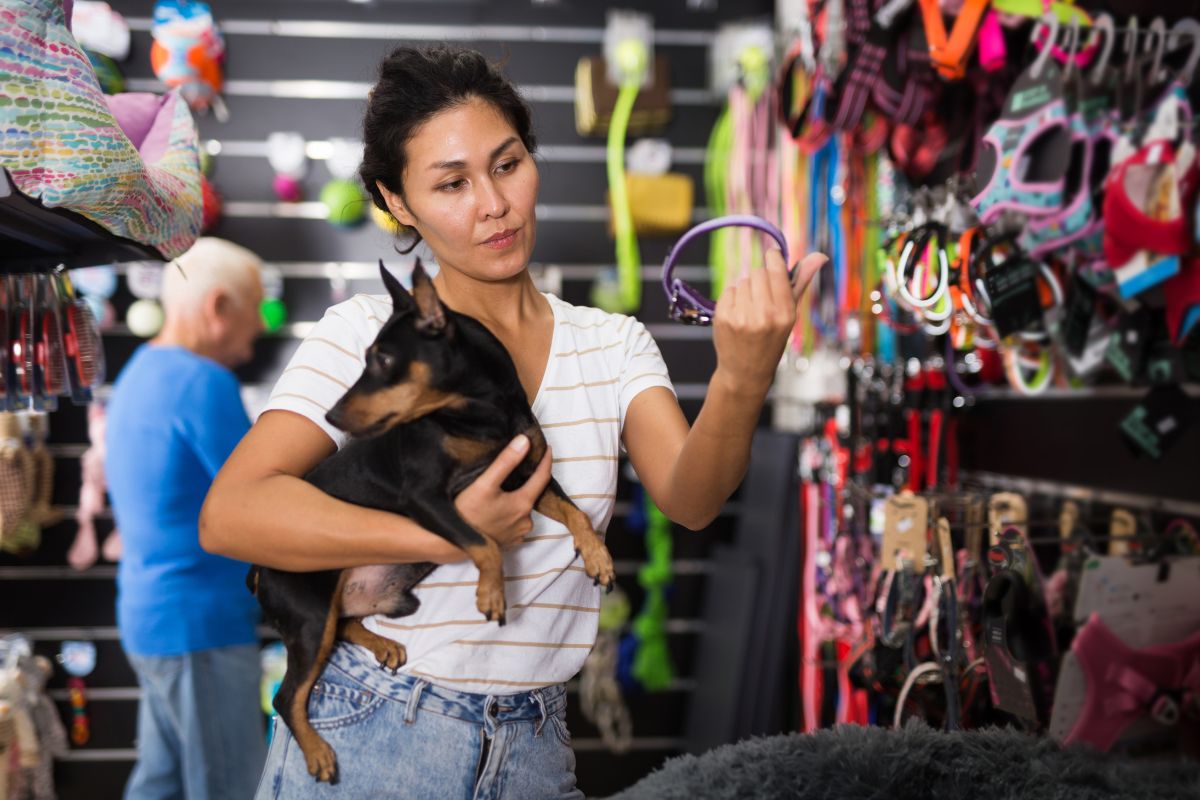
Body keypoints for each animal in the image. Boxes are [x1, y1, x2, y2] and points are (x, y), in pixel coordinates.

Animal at [248, 262, 614, 782]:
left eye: (382, 360)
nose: (331, 415)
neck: (481, 415)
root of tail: (258, 570)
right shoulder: (427, 497)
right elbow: (484, 541)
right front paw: (492, 592)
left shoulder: (531, 477)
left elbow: (575, 511)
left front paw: (598, 557)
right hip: (308, 616)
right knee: (288, 694)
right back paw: (318, 753)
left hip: (358, 606)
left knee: (344, 625)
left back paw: (382, 643)